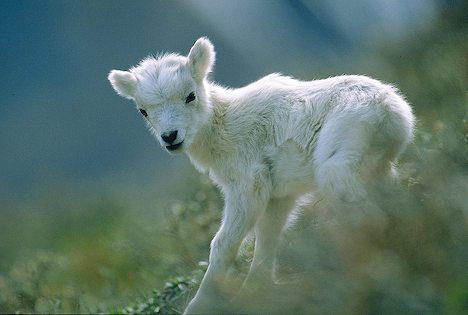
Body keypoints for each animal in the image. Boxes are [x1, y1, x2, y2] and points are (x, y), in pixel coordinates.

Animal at [108, 38, 414, 314]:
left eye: (190, 95)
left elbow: (223, 244)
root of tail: (394, 111)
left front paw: (200, 305)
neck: (222, 127)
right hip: (378, 167)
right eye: (143, 111)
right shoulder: (278, 197)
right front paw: (256, 293)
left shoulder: (247, 187)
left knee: (369, 216)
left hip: (338, 165)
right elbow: (267, 240)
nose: (170, 137)